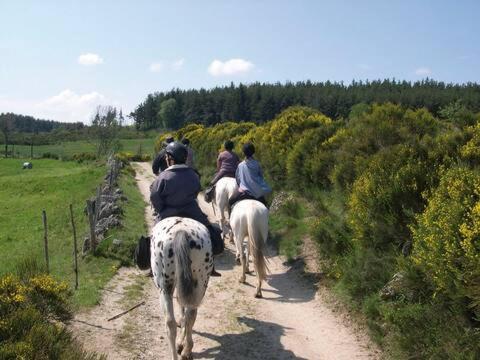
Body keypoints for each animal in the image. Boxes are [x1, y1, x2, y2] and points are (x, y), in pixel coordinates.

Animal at [151, 217, 213, 360]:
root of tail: (181, 231)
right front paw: (182, 344)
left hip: (165, 288)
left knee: (173, 322)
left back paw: (180, 351)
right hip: (200, 285)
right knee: (188, 316)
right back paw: (186, 350)